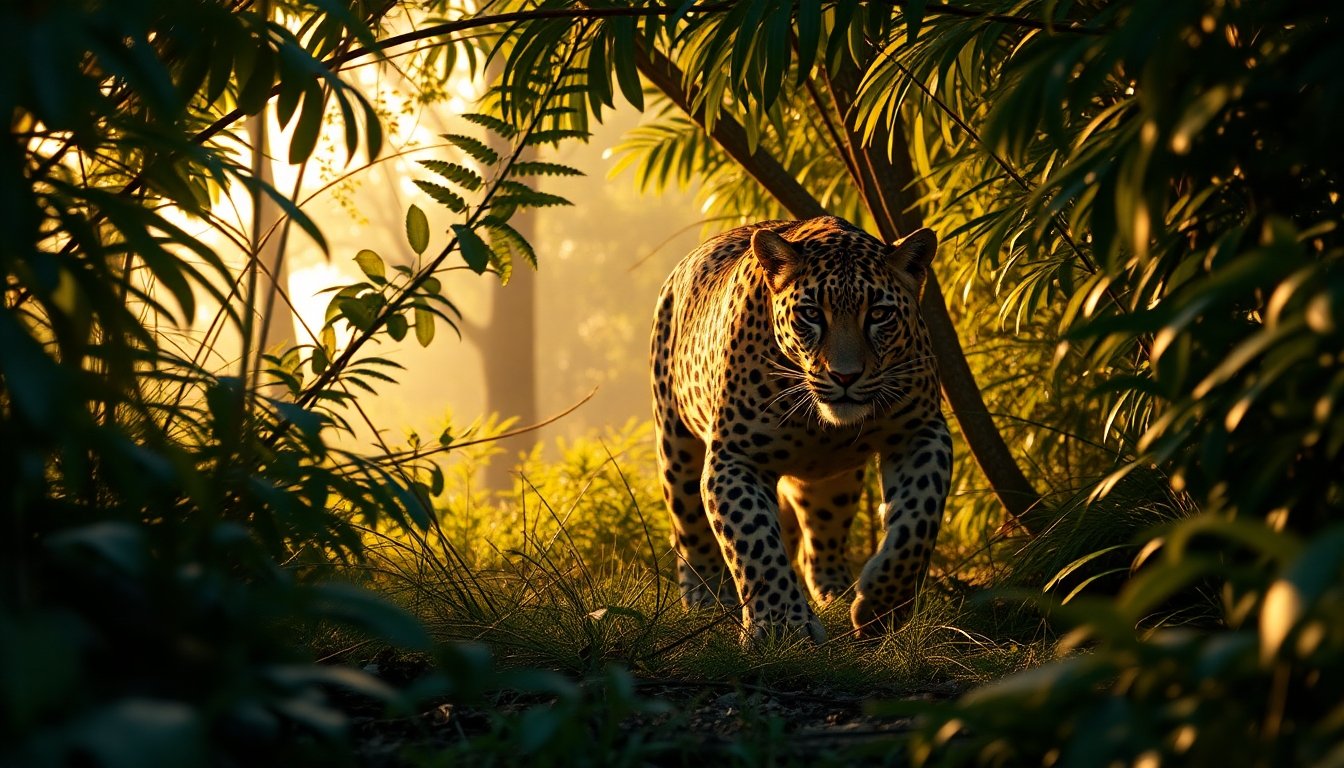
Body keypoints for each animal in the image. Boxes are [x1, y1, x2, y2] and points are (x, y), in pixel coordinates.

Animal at [650, 215, 952, 643]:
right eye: (811, 313)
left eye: (879, 315)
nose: (845, 376)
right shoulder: (735, 458)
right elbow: (755, 541)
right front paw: (782, 626)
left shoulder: (921, 430)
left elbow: (918, 520)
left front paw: (882, 606)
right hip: (676, 448)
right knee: (691, 532)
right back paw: (706, 601)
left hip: (833, 481)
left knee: (818, 542)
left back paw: (836, 593)